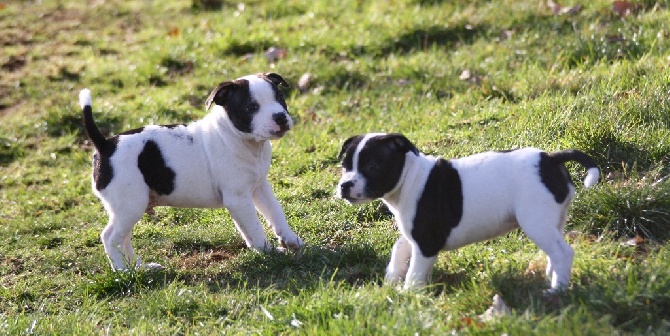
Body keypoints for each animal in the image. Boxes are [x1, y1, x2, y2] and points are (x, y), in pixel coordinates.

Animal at [79, 73, 308, 270]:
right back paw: (122, 272)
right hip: (129, 205)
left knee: (123, 239)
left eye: (280, 98)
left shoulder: (259, 188)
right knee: (110, 238)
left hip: (128, 208)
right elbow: (254, 228)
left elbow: (275, 212)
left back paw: (141, 268)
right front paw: (267, 251)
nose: (280, 117)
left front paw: (291, 239)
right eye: (251, 107)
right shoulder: (239, 199)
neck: (240, 139)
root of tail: (105, 145)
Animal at [338, 133, 600, 290]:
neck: (410, 177)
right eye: (344, 166)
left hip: (536, 222)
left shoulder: (426, 241)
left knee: (563, 253)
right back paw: (552, 278)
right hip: (552, 221)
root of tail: (551, 159)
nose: (345, 185)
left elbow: (416, 272)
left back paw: (556, 291)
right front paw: (392, 275)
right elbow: (400, 245)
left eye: (373, 166)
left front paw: (408, 295)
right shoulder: (414, 234)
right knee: (554, 252)